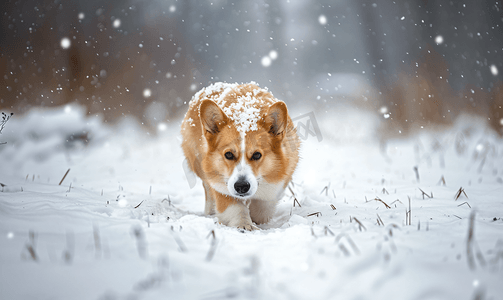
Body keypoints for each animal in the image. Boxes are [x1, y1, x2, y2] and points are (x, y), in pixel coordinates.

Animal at [181, 82, 300, 230]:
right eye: (228, 154)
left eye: (257, 155)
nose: (241, 186)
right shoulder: (220, 184)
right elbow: (235, 208)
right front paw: (244, 225)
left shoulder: (275, 185)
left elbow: (262, 208)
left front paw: (256, 220)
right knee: (208, 190)